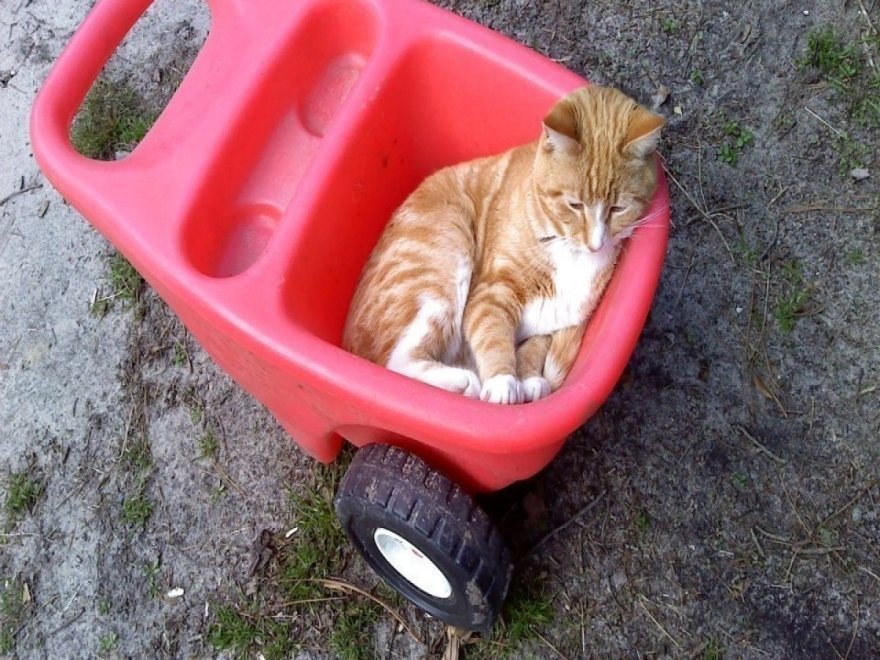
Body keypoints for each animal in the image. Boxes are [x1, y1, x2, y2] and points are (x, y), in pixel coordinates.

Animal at [342, 85, 660, 404]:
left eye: (618, 208)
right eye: (575, 205)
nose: (596, 243)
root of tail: (348, 343)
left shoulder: (550, 322)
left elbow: (533, 348)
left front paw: (528, 378)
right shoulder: (490, 293)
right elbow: (494, 333)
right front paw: (503, 381)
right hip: (444, 259)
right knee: (395, 361)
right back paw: (462, 382)